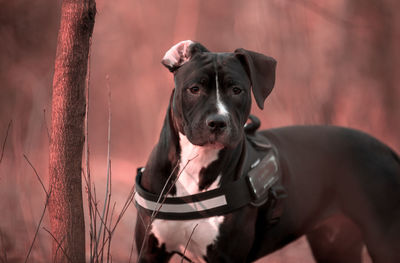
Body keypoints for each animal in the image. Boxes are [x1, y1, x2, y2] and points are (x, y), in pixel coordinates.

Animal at [134, 40, 400, 262]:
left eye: (237, 90)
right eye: (194, 89)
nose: (218, 123)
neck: (197, 163)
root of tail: (387, 151)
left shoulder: (226, 257)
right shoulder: (149, 252)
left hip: (384, 241)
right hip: (335, 244)